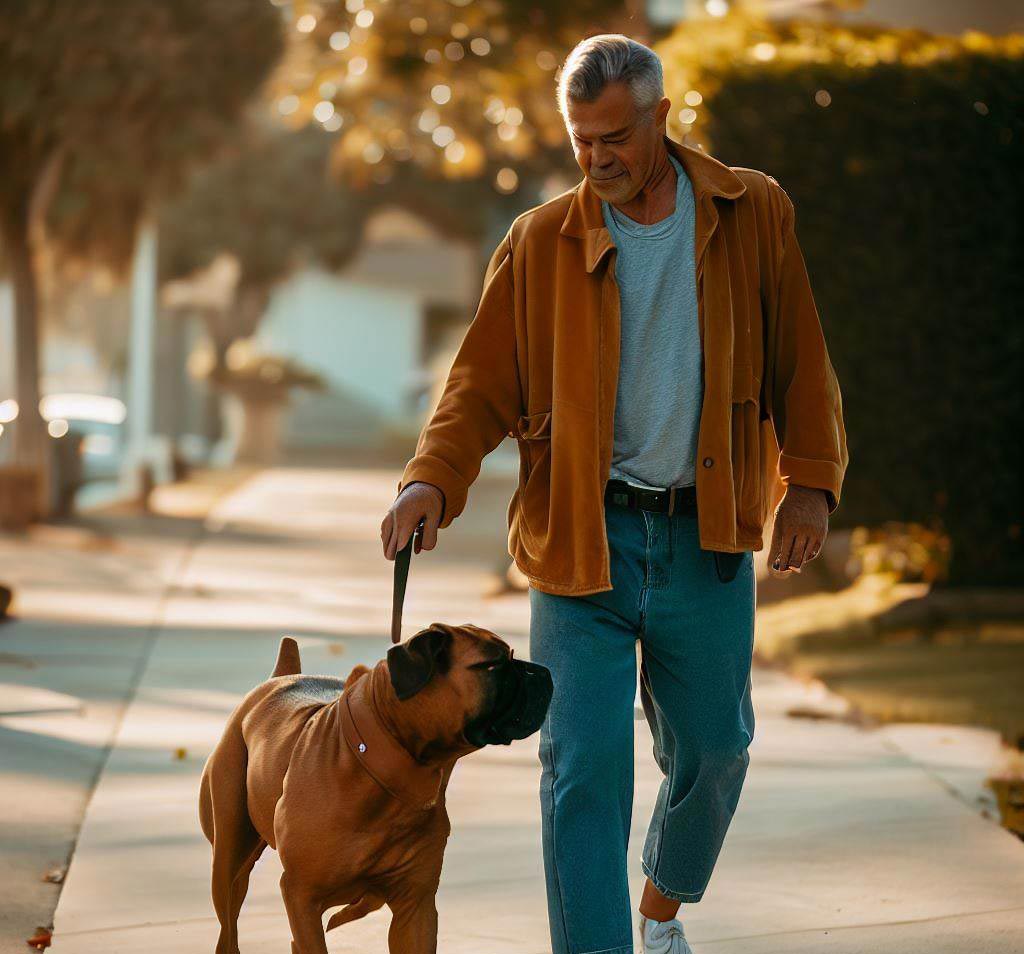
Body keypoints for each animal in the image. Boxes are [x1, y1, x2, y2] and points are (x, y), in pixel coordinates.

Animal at [198, 622, 552, 953]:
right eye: (494, 665)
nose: (545, 672)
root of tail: (279, 678)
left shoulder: (416, 908)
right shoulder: (301, 896)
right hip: (228, 864)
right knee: (228, 928)